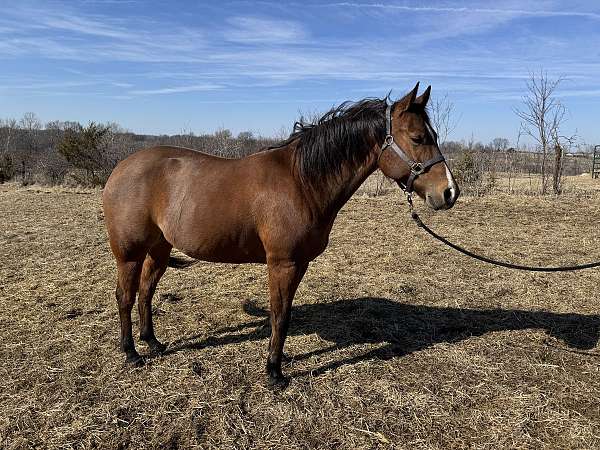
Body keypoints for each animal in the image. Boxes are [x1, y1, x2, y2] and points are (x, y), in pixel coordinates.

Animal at [102, 82, 460, 388]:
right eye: (417, 138)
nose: (449, 192)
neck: (301, 181)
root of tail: (120, 168)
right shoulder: (282, 264)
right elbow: (280, 315)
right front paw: (274, 372)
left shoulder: (299, 263)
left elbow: (284, 315)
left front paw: (278, 363)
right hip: (129, 253)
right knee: (125, 296)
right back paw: (131, 353)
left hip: (159, 249)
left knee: (146, 292)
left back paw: (152, 342)